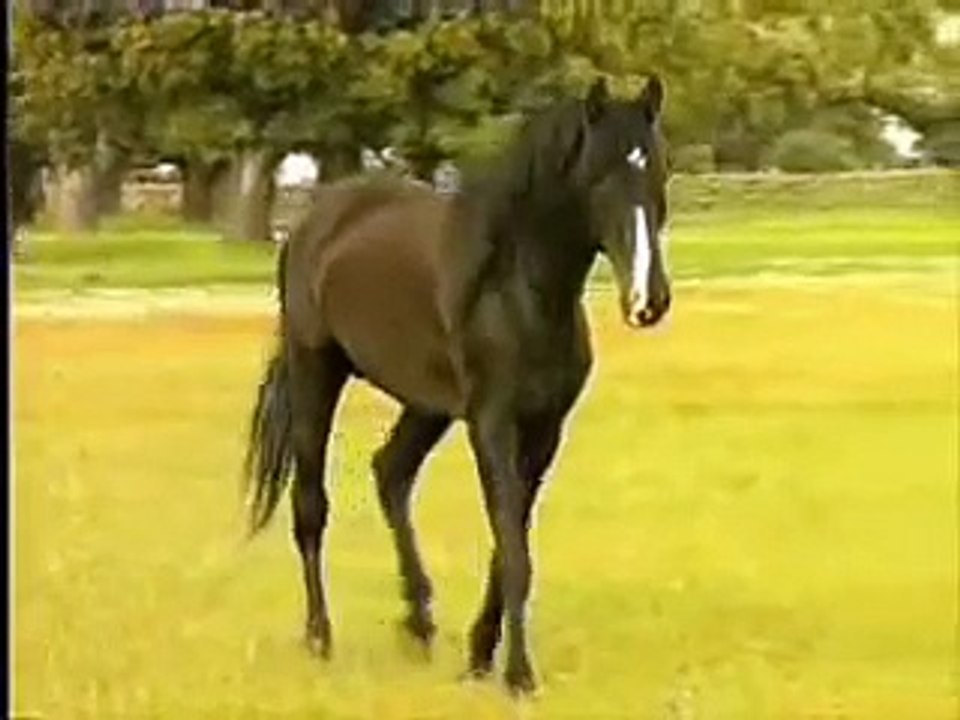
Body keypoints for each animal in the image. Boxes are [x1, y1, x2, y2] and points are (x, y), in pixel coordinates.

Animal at [244, 75, 672, 695]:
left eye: (659, 169)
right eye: (601, 177)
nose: (648, 301)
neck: (515, 291)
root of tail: (311, 223)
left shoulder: (543, 430)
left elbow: (508, 541)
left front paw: (478, 656)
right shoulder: (491, 423)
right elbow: (513, 550)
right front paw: (518, 675)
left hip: (427, 406)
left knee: (390, 473)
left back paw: (419, 621)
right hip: (315, 373)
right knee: (310, 505)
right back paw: (320, 638)